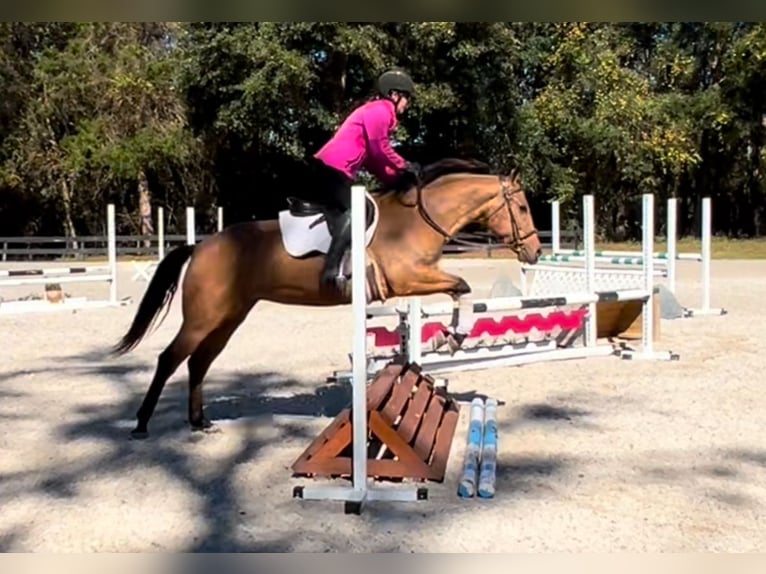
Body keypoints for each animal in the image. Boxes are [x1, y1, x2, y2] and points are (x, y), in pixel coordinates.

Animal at [115, 158, 544, 436]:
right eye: (523, 207)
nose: (536, 252)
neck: (416, 220)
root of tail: (201, 246)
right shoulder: (409, 279)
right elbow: (462, 288)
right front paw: (450, 337)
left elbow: (459, 289)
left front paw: (448, 337)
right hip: (203, 317)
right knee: (170, 358)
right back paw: (141, 423)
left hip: (229, 317)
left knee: (199, 362)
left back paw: (199, 421)